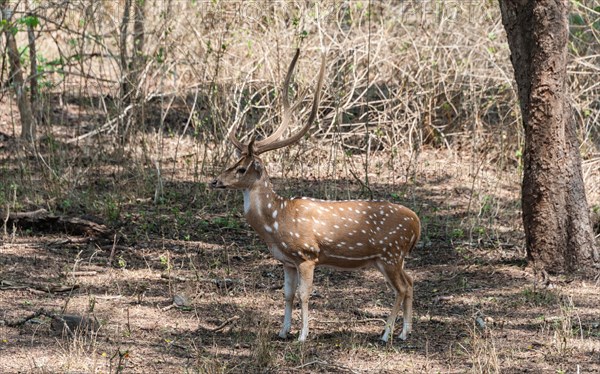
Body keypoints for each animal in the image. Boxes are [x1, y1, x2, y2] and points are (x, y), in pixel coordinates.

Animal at [211, 49, 422, 342]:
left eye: (242, 168)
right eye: (231, 163)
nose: (215, 181)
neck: (276, 222)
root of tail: (417, 223)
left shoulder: (308, 254)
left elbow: (304, 294)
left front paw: (302, 336)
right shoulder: (286, 260)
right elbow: (287, 294)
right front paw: (283, 332)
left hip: (391, 253)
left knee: (400, 287)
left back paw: (386, 334)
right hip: (391, 258)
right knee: (411, 281)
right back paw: (405, 332)